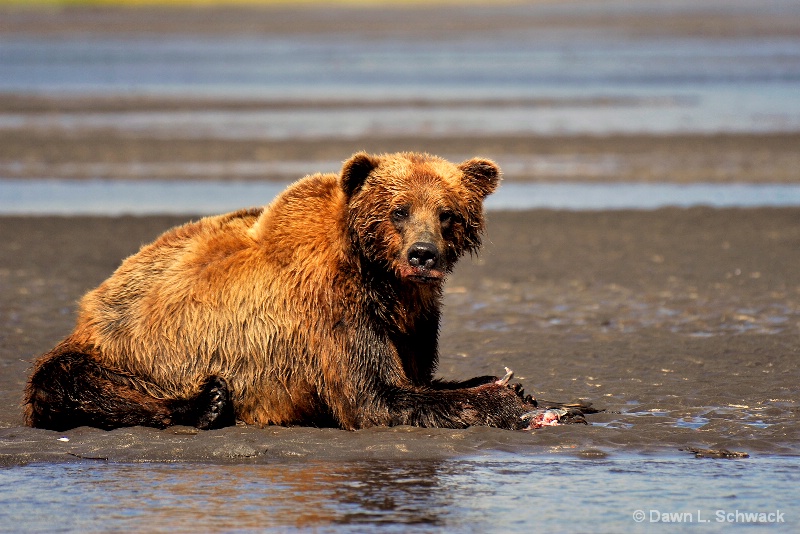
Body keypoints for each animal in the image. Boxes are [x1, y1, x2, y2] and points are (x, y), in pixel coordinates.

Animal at [23, 151, 536, 432]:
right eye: (399, 210)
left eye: (447, 213)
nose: (423, 255)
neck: (384, 280)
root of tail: (94, 299)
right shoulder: (332, 306)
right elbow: (377, 397)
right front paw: (508, 402)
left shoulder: (414, 319)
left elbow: (417, 378)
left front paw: (511, 386)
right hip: (122, 351)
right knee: (64, 381)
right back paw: (206, 404)